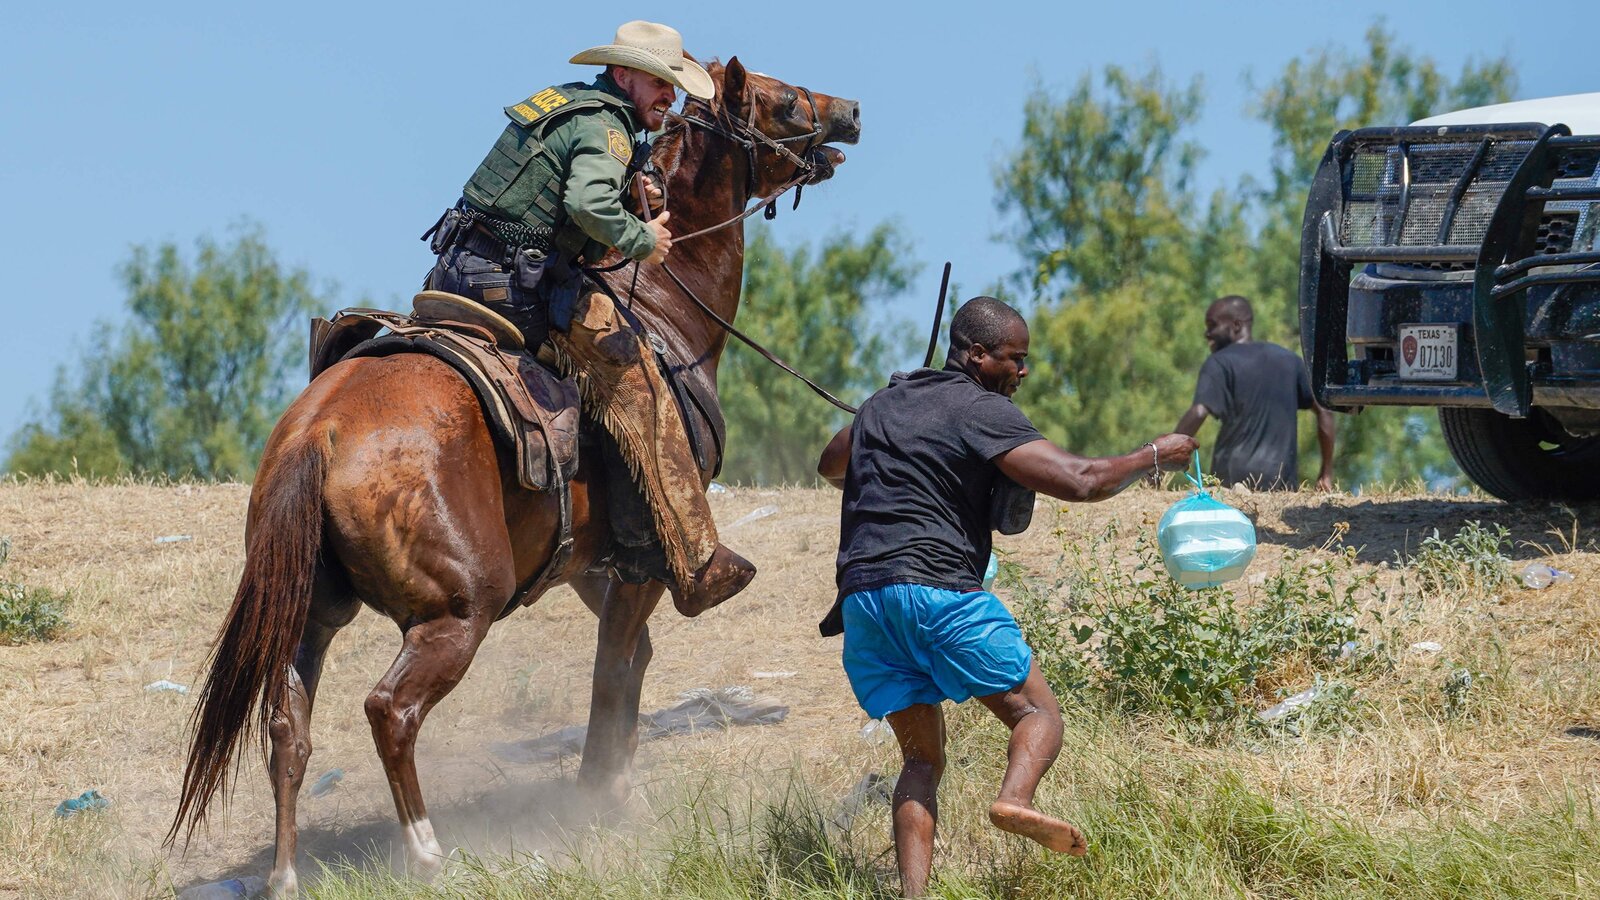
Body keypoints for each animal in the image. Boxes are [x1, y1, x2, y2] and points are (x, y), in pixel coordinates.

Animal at [167, 57, 857, 890]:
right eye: (782, 100)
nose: (851, 112)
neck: (664, 308)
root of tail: (319, 433)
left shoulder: (591, 563)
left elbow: (629, 662)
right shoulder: (645, 562)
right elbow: (614, 668)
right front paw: (603, 796)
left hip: (312, 611)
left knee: (286, 726)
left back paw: (284, 875)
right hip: (460, 610)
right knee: (389, 710)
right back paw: (427, 851)